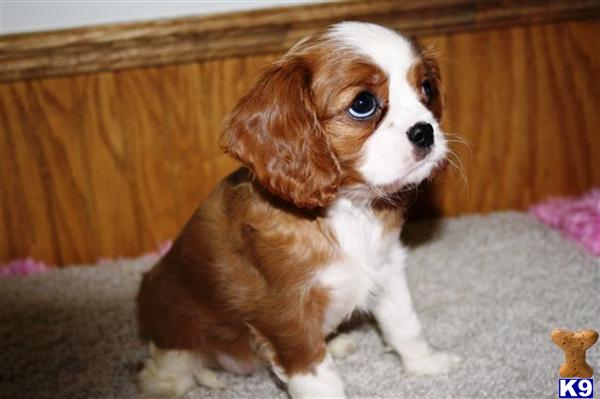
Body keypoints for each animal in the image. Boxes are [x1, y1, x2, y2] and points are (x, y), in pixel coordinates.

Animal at [137, 21, 460, 399]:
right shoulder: (287, 312)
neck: (346, 211)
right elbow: (318, 376)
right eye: (363, 104)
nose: (425, 132)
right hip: (176, 327)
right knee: (167, 366)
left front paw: (426, 365)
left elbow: (404, 324)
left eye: (427, 88)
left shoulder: (387, 268)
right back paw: (164, 386)